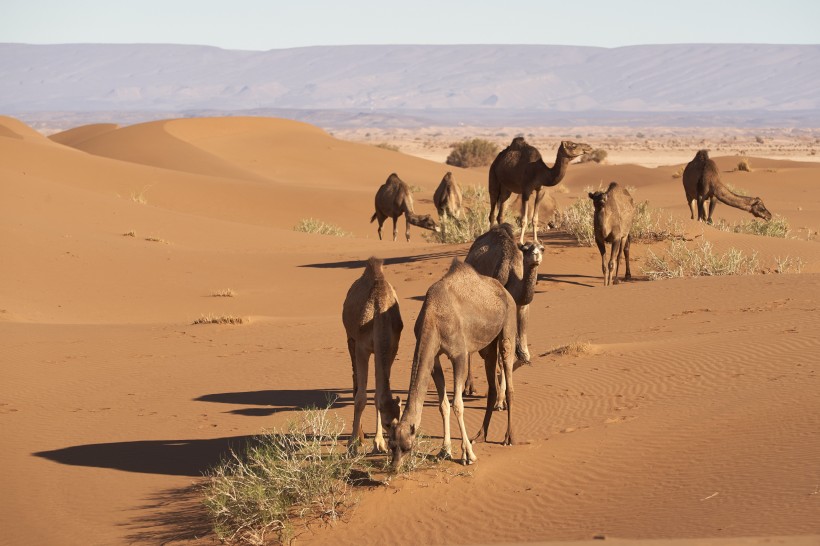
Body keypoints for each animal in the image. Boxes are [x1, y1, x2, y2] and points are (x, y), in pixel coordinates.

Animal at [340, 258, 404, 452]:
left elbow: (377, 395)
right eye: (388, 424)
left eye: (400, 421)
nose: (394, 445)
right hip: (350, 338)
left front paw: (379, 443)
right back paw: (359, 437)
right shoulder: (363, 347)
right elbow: (361, 398)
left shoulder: (390, 348)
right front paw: (353, 443)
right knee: (355, 379)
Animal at [386, 260, 524, 468]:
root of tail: (503, 290)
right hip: (488, 344)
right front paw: (445, 451)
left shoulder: (459, 355)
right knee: (492, 382)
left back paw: (509, 437)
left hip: (508, 324)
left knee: (509, 374)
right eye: (391, 445)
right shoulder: (434, 357)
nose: (394, 468)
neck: (433, 317)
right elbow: (443, 405)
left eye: (407, 447)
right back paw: (480, 436)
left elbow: (458, 404)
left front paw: (468, 455)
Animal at [464, 221, 540, 404]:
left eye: (542, 248)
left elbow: (521, 354)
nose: (536, 255)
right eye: (526, 248)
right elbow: (500, 355)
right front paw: (499, 400)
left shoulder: (522, 308)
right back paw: (469, 387)